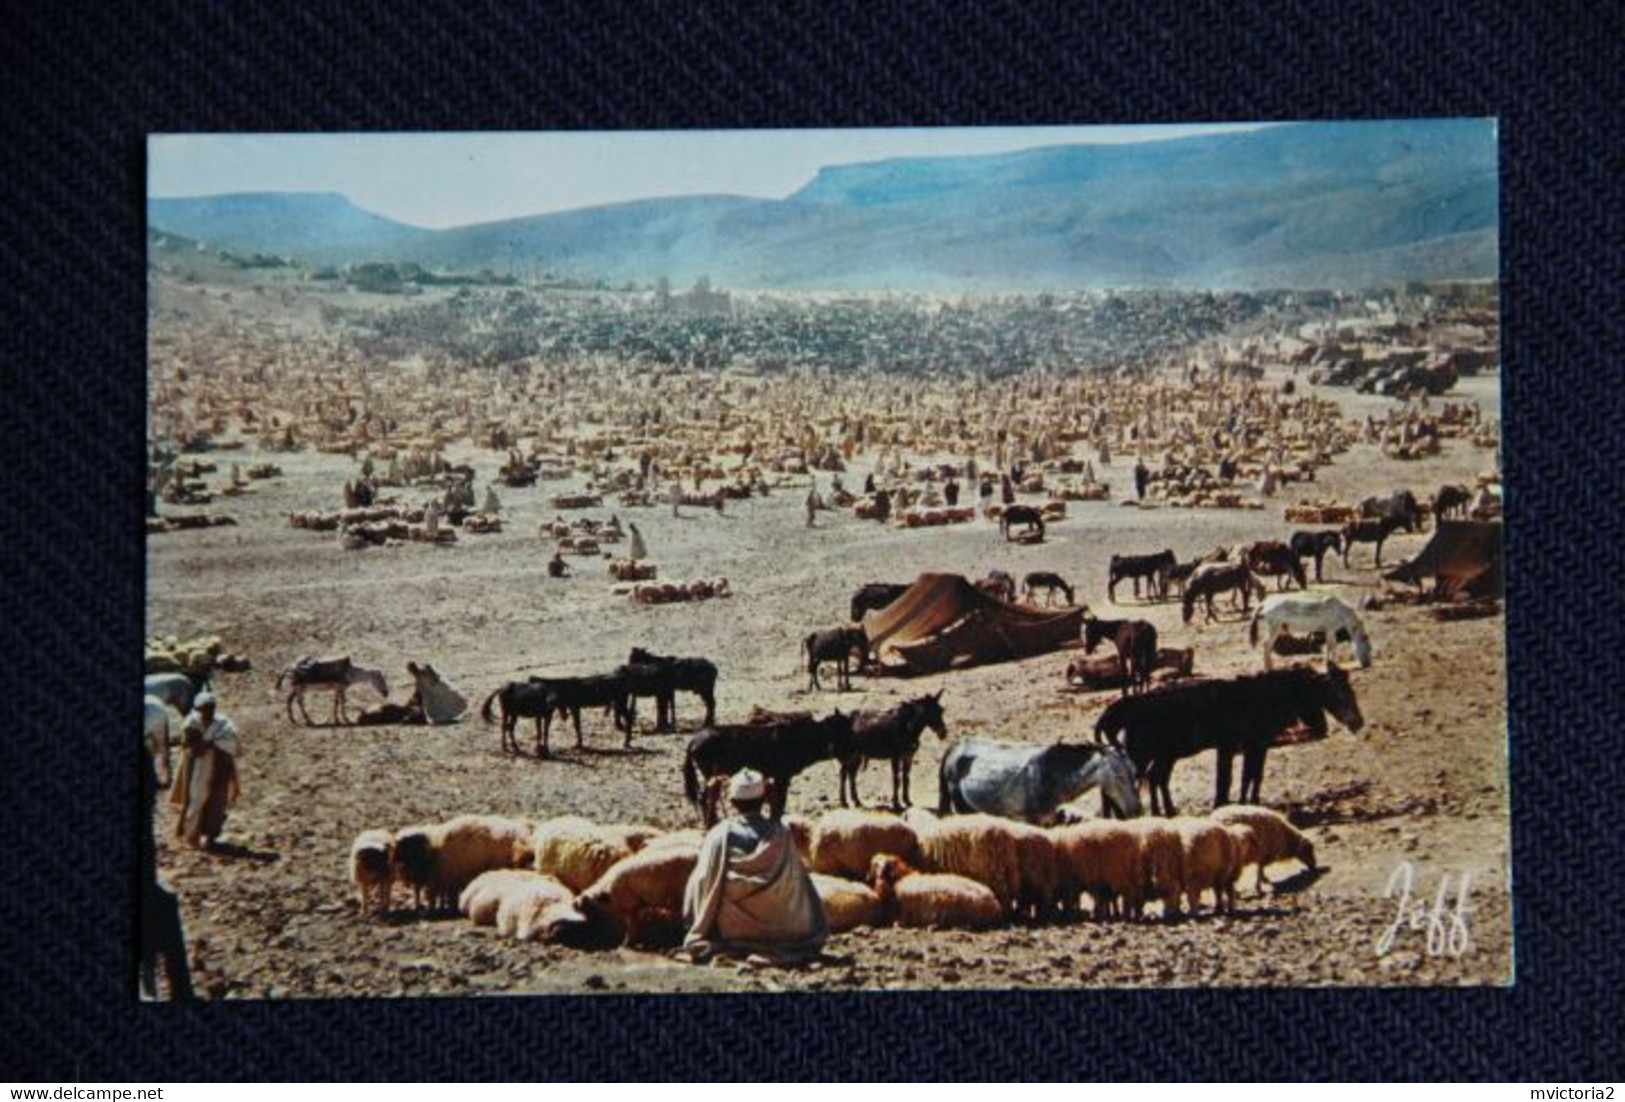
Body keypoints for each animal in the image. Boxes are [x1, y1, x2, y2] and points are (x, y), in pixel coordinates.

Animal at [679, 711, 858, 825]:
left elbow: (780, 802)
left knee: (705, 798)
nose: (856, 749)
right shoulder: (782, 777)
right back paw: (712, 822)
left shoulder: (782, 778)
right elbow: (780, 802)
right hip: (710, 775)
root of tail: (694, 739)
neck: (804, 738)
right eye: (843, 733)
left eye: (850, 730)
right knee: (705, 799)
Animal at [936, 737, 1150, 825]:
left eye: (1134, 773)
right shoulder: (1034, 819)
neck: (1051, 773)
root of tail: (954, 748)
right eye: (1119, 776)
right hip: (962, 807)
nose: (1137, 811)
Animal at [1098, 659, 1365, 815]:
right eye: (1338, 693)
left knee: (1156, 779)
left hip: (1167, 755)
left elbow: (1252, 776)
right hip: (1141, 755)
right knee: (1122, 784)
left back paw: (1166, 811)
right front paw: (1224, 805)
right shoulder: (1229, 748)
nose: (1358, 722)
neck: (1259, 698)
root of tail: (1129, 706)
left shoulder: (1257, 746)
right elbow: (1226, 780)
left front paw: (1251, 802)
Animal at [1241, 594, 1371, 672]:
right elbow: (1331, 645)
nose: (1367, 665)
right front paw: (1331, 663)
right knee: (1266, 646)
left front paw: (1332, 662)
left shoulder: (1330, 631)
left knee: (1267, 647)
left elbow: (1332, 645)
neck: (1340, 612)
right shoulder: (1330, 630)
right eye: (1368, 648)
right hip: (1274, 628)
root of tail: (1266, 602)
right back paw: (1269, 669)